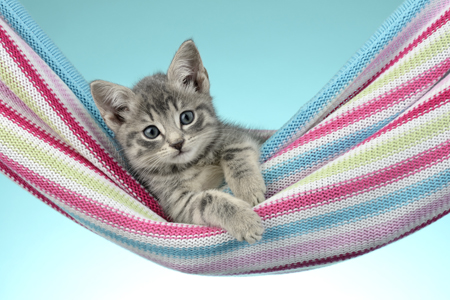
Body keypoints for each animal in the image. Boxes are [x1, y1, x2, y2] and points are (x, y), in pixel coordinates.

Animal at [91, 39, 268, 243]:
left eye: (187, 117)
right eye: (151, 132)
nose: (177, 143)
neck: (192, 164)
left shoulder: (237, 135)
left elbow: (234, 152)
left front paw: (248, 189)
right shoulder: (177, 202)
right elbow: (207, 200)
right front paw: (243, 219)